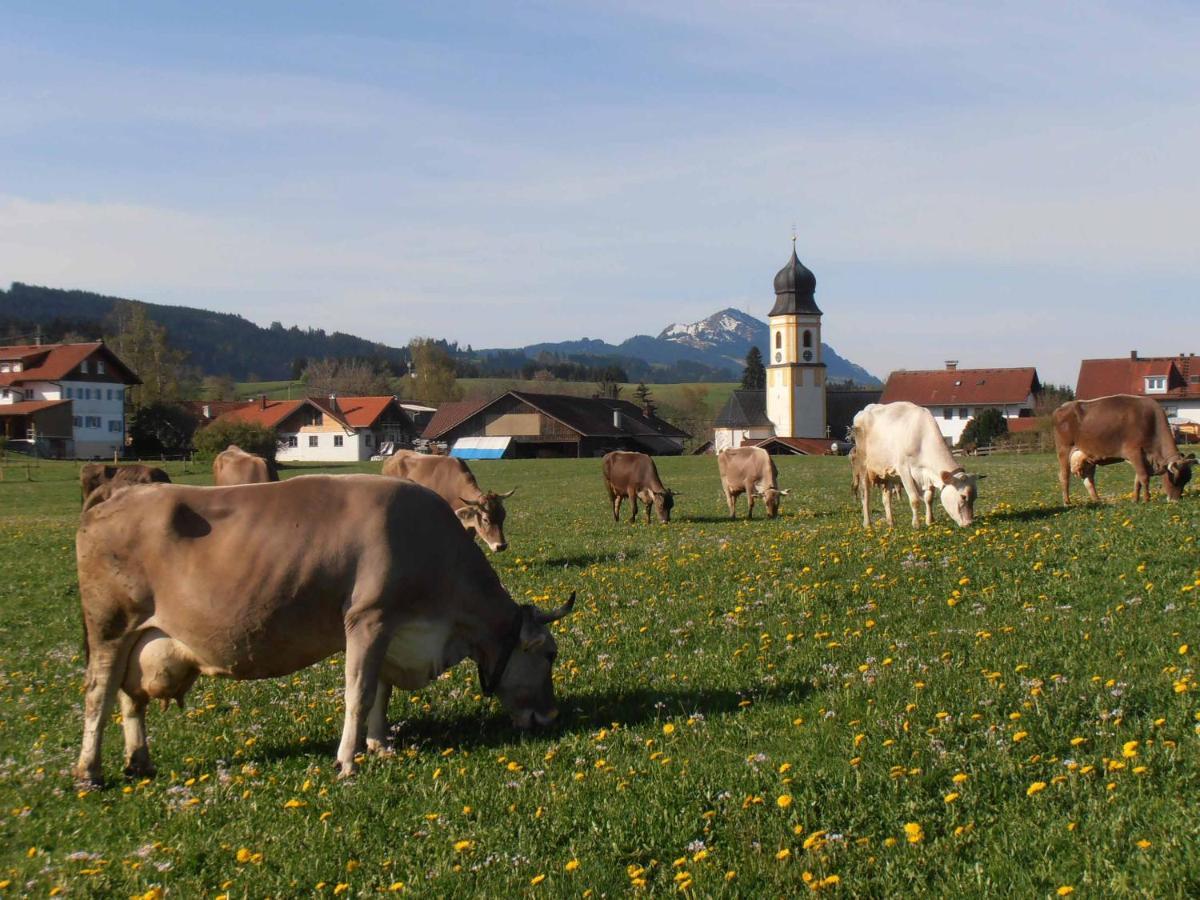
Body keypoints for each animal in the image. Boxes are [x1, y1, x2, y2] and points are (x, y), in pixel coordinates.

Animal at [73, 475, 576, 787]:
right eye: (549, 654)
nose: (552, 716)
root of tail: (116, 496)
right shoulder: (367, 619)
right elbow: (360, 692)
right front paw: (348, 760)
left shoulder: (392, 629)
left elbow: (381, 691)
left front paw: (380, 744)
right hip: (110, 627)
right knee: (99, 693)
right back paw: (88, 772)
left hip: (142, 638)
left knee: (130, 698)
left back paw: (139, 761)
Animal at [849, 403, 979, 528]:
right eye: (963, 496)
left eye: (975, 497)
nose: (969, 523)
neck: (922, 437)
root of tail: (864, 410)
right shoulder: (904, 470)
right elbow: (915, 499)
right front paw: (916, 525)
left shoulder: (927, 473)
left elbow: (929, 499)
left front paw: (930, 521)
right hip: (863, 466)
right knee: (865, 494)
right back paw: (867, 523)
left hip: (887, 473)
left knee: (886, 498)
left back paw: (891, 523)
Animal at [1056, 396, 1195, 508]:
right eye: (1175, 480)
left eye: (1186, 480)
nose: (1175, 501)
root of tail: (1064, 406)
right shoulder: (1134, 452)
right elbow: (1144, 477)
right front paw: (1146, 499)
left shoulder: (1142, 458)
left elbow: (1137, 480)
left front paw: (1135, 500)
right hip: (1064, 450)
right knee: (1064, 476)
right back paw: (1067, 502)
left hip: (1088, 458)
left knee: (1088, 480)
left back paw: (1098, 501)